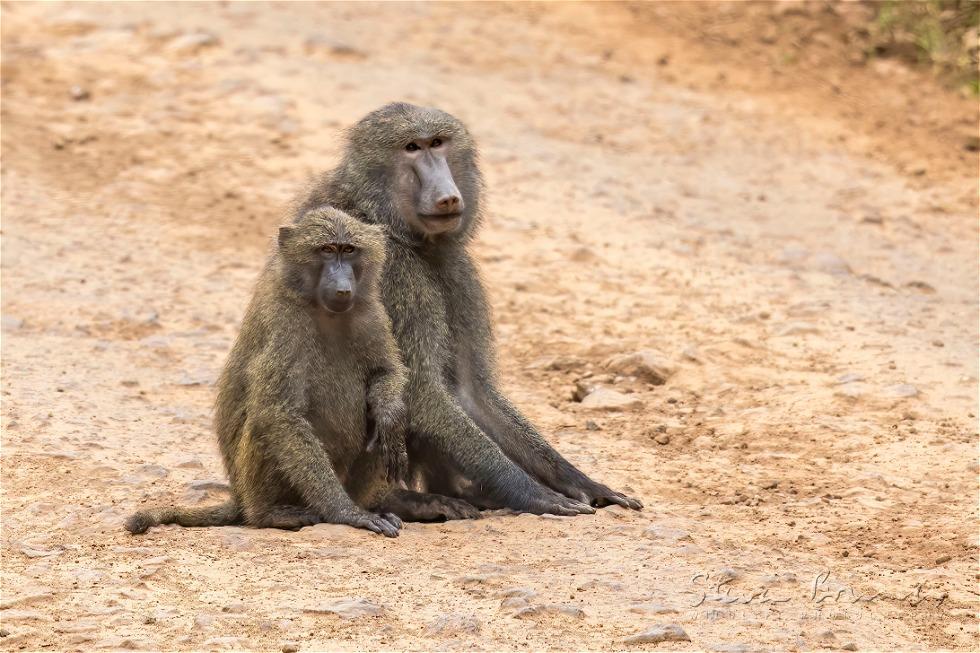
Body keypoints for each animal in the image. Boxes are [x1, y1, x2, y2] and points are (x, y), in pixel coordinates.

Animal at [126, 206, 480, 536]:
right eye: (326, 250)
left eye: (348, 250)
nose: (342, 286)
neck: (324, 310)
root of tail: (239, 498)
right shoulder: (285, 323)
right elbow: (279, 413)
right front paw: (347, 514)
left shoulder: (373, 314)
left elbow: (387, 374)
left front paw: (389, 412)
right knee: (265, 425)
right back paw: (273, 514)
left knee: (380, 427)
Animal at [296, 103, 642, 516]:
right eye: (411, 148)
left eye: (438, 143)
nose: (447, 197)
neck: (383, 217)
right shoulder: (395, 270)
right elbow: (419, 389)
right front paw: (534, 493)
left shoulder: (457, 270)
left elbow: (471, 391)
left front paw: (582, 483)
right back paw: (411, 500)